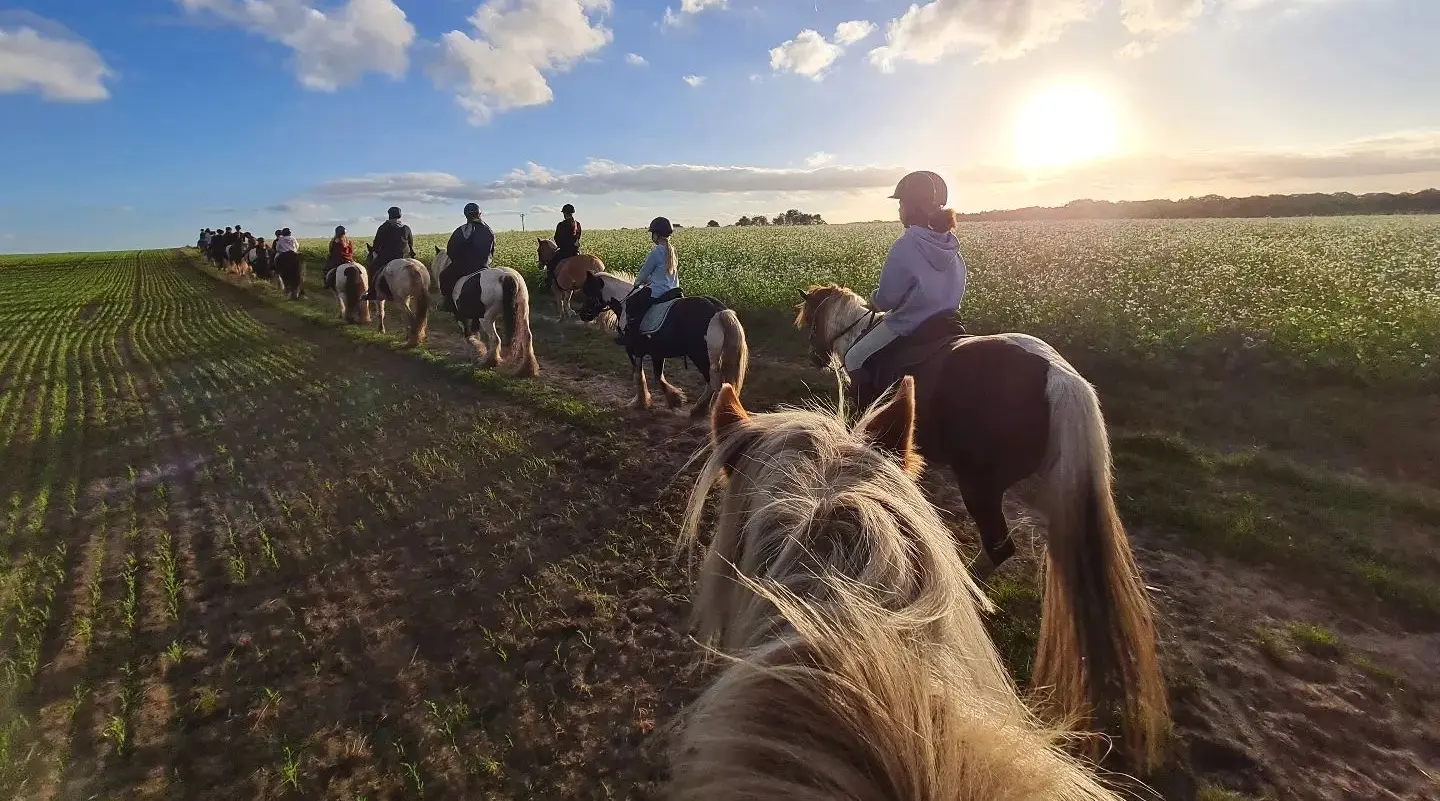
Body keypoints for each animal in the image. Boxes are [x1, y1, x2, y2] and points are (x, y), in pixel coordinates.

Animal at [578, 270, 748, 414]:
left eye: (589, 290)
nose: (583, 314)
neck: (625, 302)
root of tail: (719, 311)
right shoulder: (657, 353)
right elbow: (658, 376)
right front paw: (674, 399)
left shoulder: (634, 350)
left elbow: (639, 375)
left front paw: (640, 402)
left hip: (701, 356)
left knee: (712, 382)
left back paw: (701, 409)